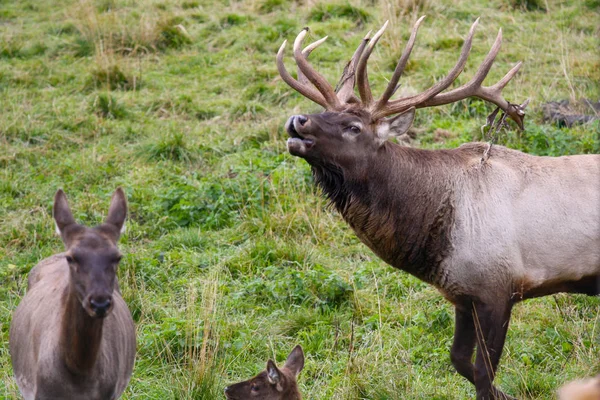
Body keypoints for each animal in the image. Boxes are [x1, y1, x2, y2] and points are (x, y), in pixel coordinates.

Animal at [276, 17, 600, 398]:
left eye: (353, 127)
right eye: (325, 112)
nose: (298, 120)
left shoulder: (498, 288)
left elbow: (483, 373)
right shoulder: (463, 294)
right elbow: (459, 360)